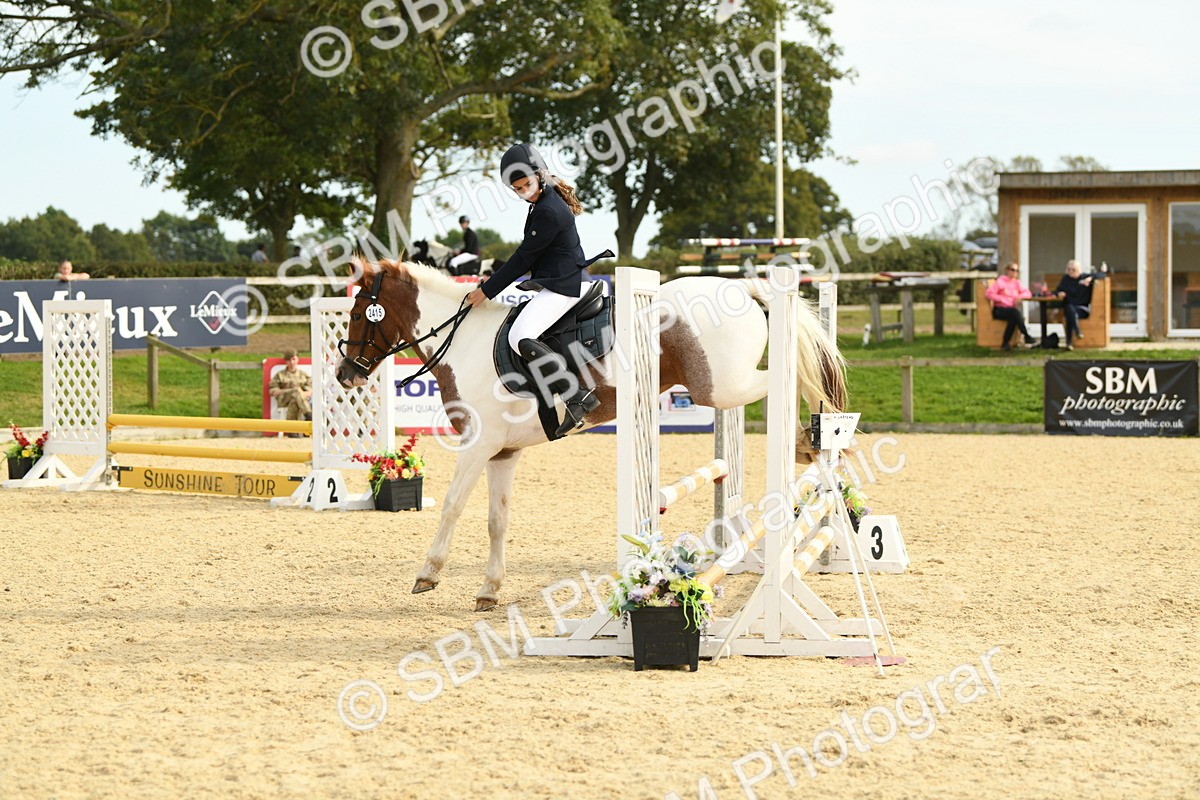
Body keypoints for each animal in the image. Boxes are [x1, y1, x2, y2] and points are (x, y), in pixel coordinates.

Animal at [335, 259, 845, 611]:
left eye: (359, 313)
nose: (344, 374)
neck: (462, 341)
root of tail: (738, 287)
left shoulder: (477, 445)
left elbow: (452, 507)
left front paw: (428, 573)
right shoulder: (503, 452)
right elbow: (497, 521)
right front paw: (488, 591)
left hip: (721, 386)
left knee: (790, 377)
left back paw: (813, 438)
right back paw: (817, 447)